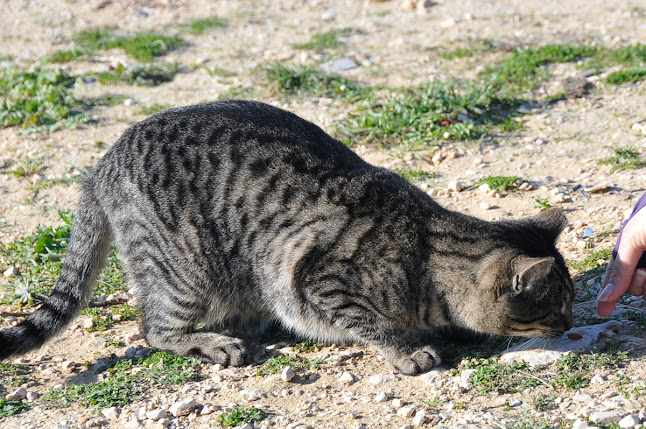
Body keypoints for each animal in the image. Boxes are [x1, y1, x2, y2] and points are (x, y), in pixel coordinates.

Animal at [0, 100, 576, 374]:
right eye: (557, 307)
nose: (573, 325)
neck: (430, 253)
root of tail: (103, 161)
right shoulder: (318, 278)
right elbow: (370, 323)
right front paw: (407, 348)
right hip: (185, 269)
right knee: (156, 329)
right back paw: (214, 342)